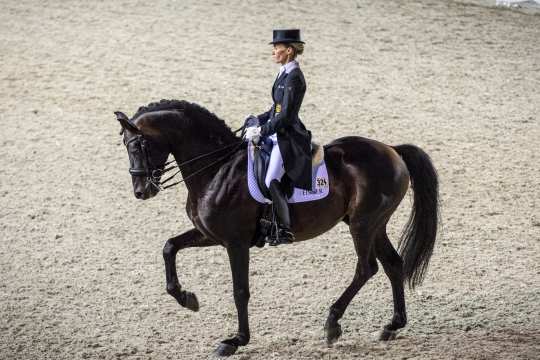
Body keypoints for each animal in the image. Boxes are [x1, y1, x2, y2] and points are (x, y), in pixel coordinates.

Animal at [113, 99, 438, 358]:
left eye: (140, 144)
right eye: (126, 146)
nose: (141, 191)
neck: (216, 169)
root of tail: (392, 150)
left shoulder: (235, 242)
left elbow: (240, 290)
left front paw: (235, 340)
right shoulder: (210, 235)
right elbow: (169, 246)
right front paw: (187, 299)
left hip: (363, 224)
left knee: (366, 268)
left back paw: (332, 324)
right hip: (374, 224)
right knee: (393, 264)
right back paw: (391, 326)